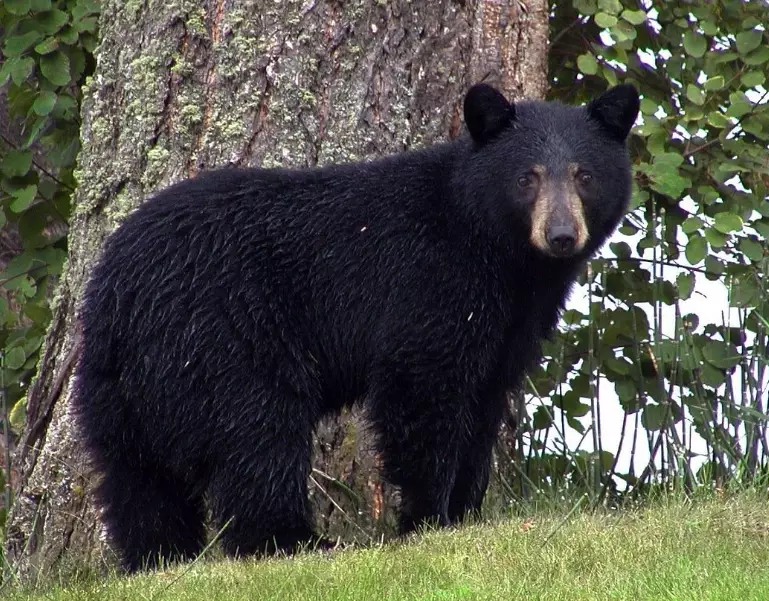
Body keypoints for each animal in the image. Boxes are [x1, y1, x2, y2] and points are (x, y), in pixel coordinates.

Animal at [72, 81, 639, 572]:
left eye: (585, 175)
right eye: (528, 177)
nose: (561, 235)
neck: (500, 255)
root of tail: (118, 292)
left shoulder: (510, 324)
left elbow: (484, 402)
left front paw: (465, 513)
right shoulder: (430, 283)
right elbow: (422, 389)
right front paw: (427, 520)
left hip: (117, 386)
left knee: (137, 478)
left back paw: (158, 558)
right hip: (223, 338)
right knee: (258, 437)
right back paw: (296, 542)